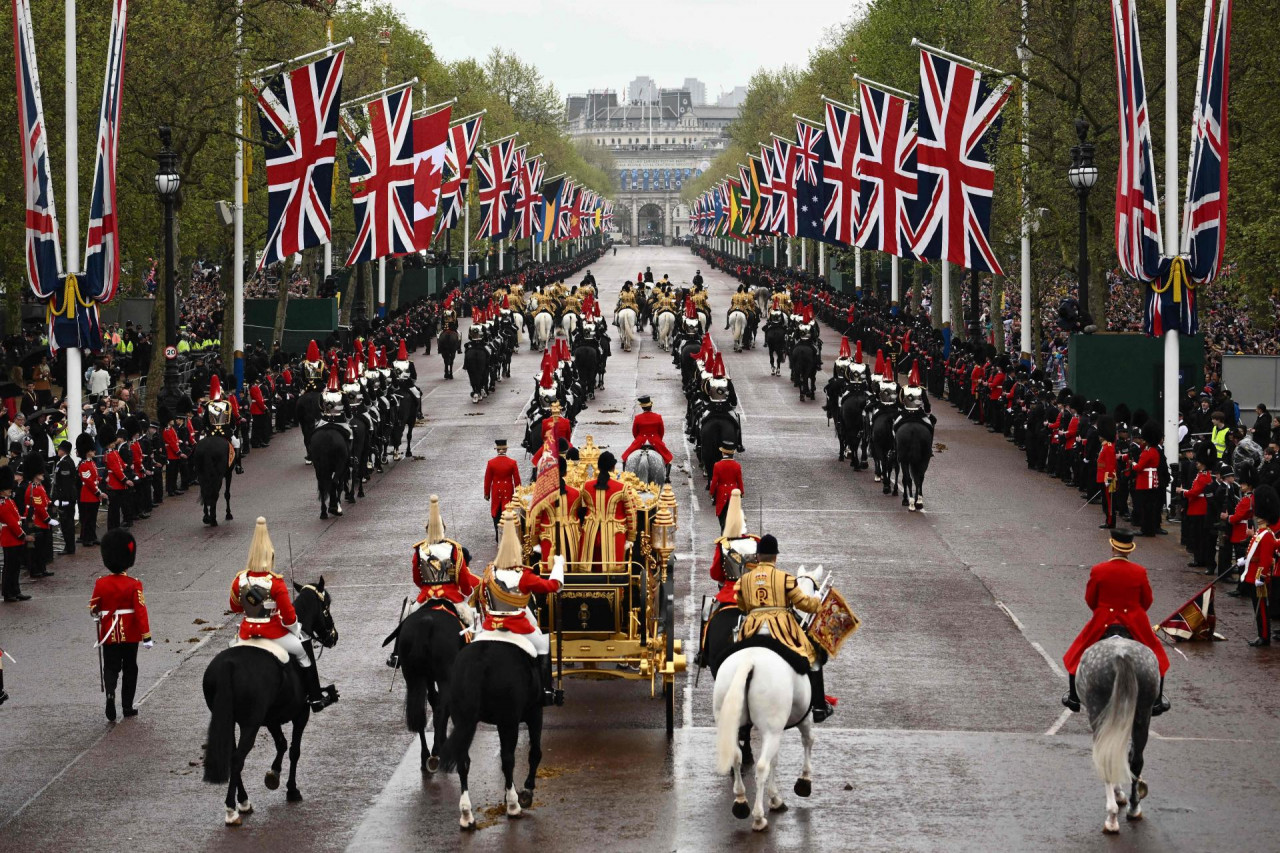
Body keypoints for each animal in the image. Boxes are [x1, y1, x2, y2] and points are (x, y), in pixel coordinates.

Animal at [200, 578, 337, 824]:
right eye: (326, 607)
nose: (333, 636)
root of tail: (228, 665)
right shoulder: (301, 713)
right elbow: (294, 749)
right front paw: (291, 789)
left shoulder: (272, 718)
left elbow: (281, 744)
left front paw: (273, 775)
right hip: (250, 724)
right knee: (238, 759)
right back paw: (232, 810)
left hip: (231, 720)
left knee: (233, 757)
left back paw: (243, 801)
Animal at [440, 637, 545, 824]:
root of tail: (480, 660)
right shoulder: (534, 712)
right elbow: (534, 753)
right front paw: (526, 791)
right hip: (509, 721)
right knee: (508, 759)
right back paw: (513, 806)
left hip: (464, 720)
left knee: (463, 761)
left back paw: (466, 814)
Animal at [711, 568, 819, 824]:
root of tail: (749, 662)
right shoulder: (803, 718)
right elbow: (807, 740)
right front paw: (802, 783)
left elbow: (775, 760)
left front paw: (775, 796)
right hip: (772, 728)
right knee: (760, 766)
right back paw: (758, 817)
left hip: (732, 720)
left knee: (738, 757)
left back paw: (741, 802)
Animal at [1080, 635, 1162, 835]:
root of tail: (1122, 655)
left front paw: (1117, 795)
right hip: (1142, 713)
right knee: (1136, 760)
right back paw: (1134, 808)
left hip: (1098, 711)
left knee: (1107, 759)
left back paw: (1111, 818)